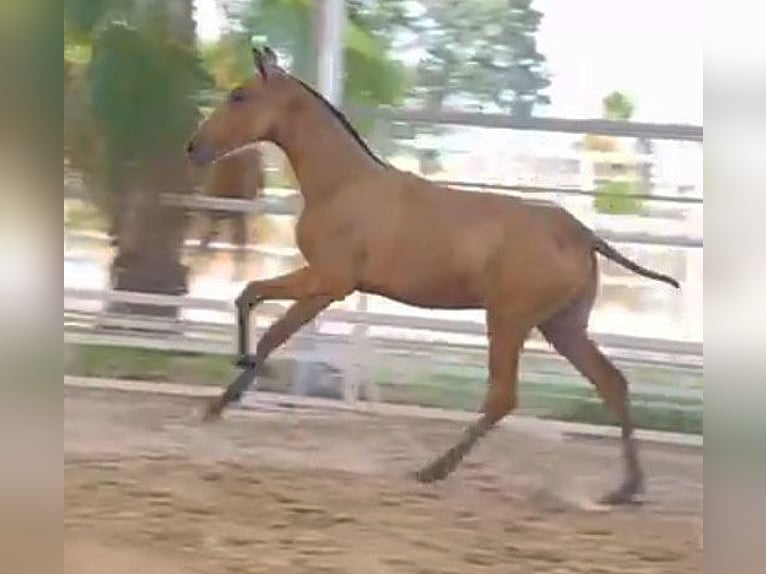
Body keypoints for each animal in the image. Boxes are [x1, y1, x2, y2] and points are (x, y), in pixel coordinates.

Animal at [186, 47, 680, 506]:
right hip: (563, 326)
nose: (194, 148)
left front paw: (225, 394)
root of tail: (582, 234)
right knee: (611, 383)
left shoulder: (329, 282)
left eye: (239, 95)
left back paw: (432, 470)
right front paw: (232, 381)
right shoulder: (322, 281)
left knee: (504, 397)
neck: (343, 185)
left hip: (510, 320)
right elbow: (250, 295)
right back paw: (626, 489)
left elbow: (271, 328)